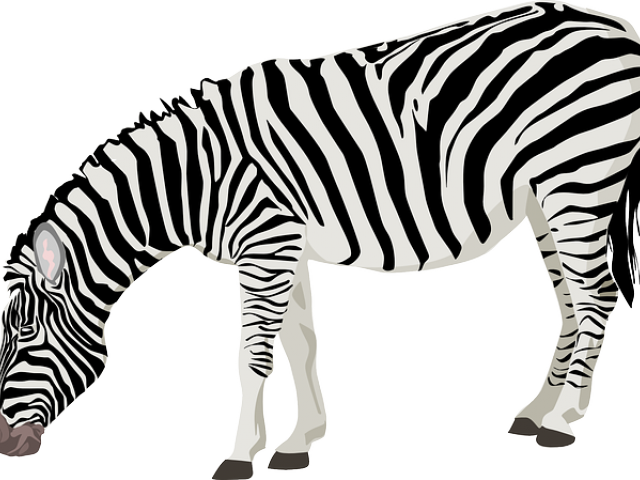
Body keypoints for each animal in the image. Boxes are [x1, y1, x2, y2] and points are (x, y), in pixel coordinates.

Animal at [1, 0, 639, 477]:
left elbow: (252, 355)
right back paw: (536, 411)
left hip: (579, 179)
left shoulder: (266, 242)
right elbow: (299, 342)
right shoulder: (283, 247)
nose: (6, 448)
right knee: (570, 303)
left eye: (25, 335)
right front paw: (298, 442)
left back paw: (562, 422)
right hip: (544, 200)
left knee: (596, 297)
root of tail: (617, 26)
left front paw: (239, 455)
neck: (193, 178)